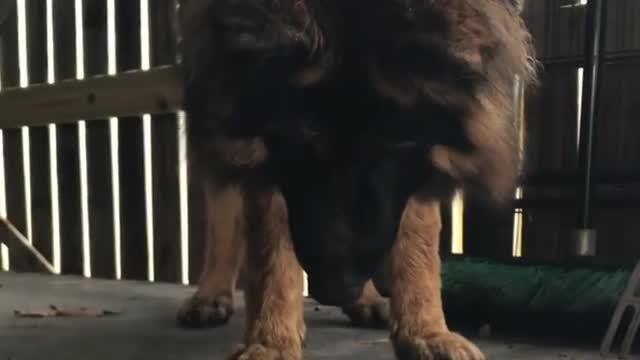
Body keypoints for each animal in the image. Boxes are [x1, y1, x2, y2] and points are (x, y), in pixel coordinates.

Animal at [175, 1, 536, 358]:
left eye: (396, 141)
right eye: (300, 138)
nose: (338, 288)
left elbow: (418, 230)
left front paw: (426, 331)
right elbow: (269, 245)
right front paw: (270, 341)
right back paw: (211, 294)